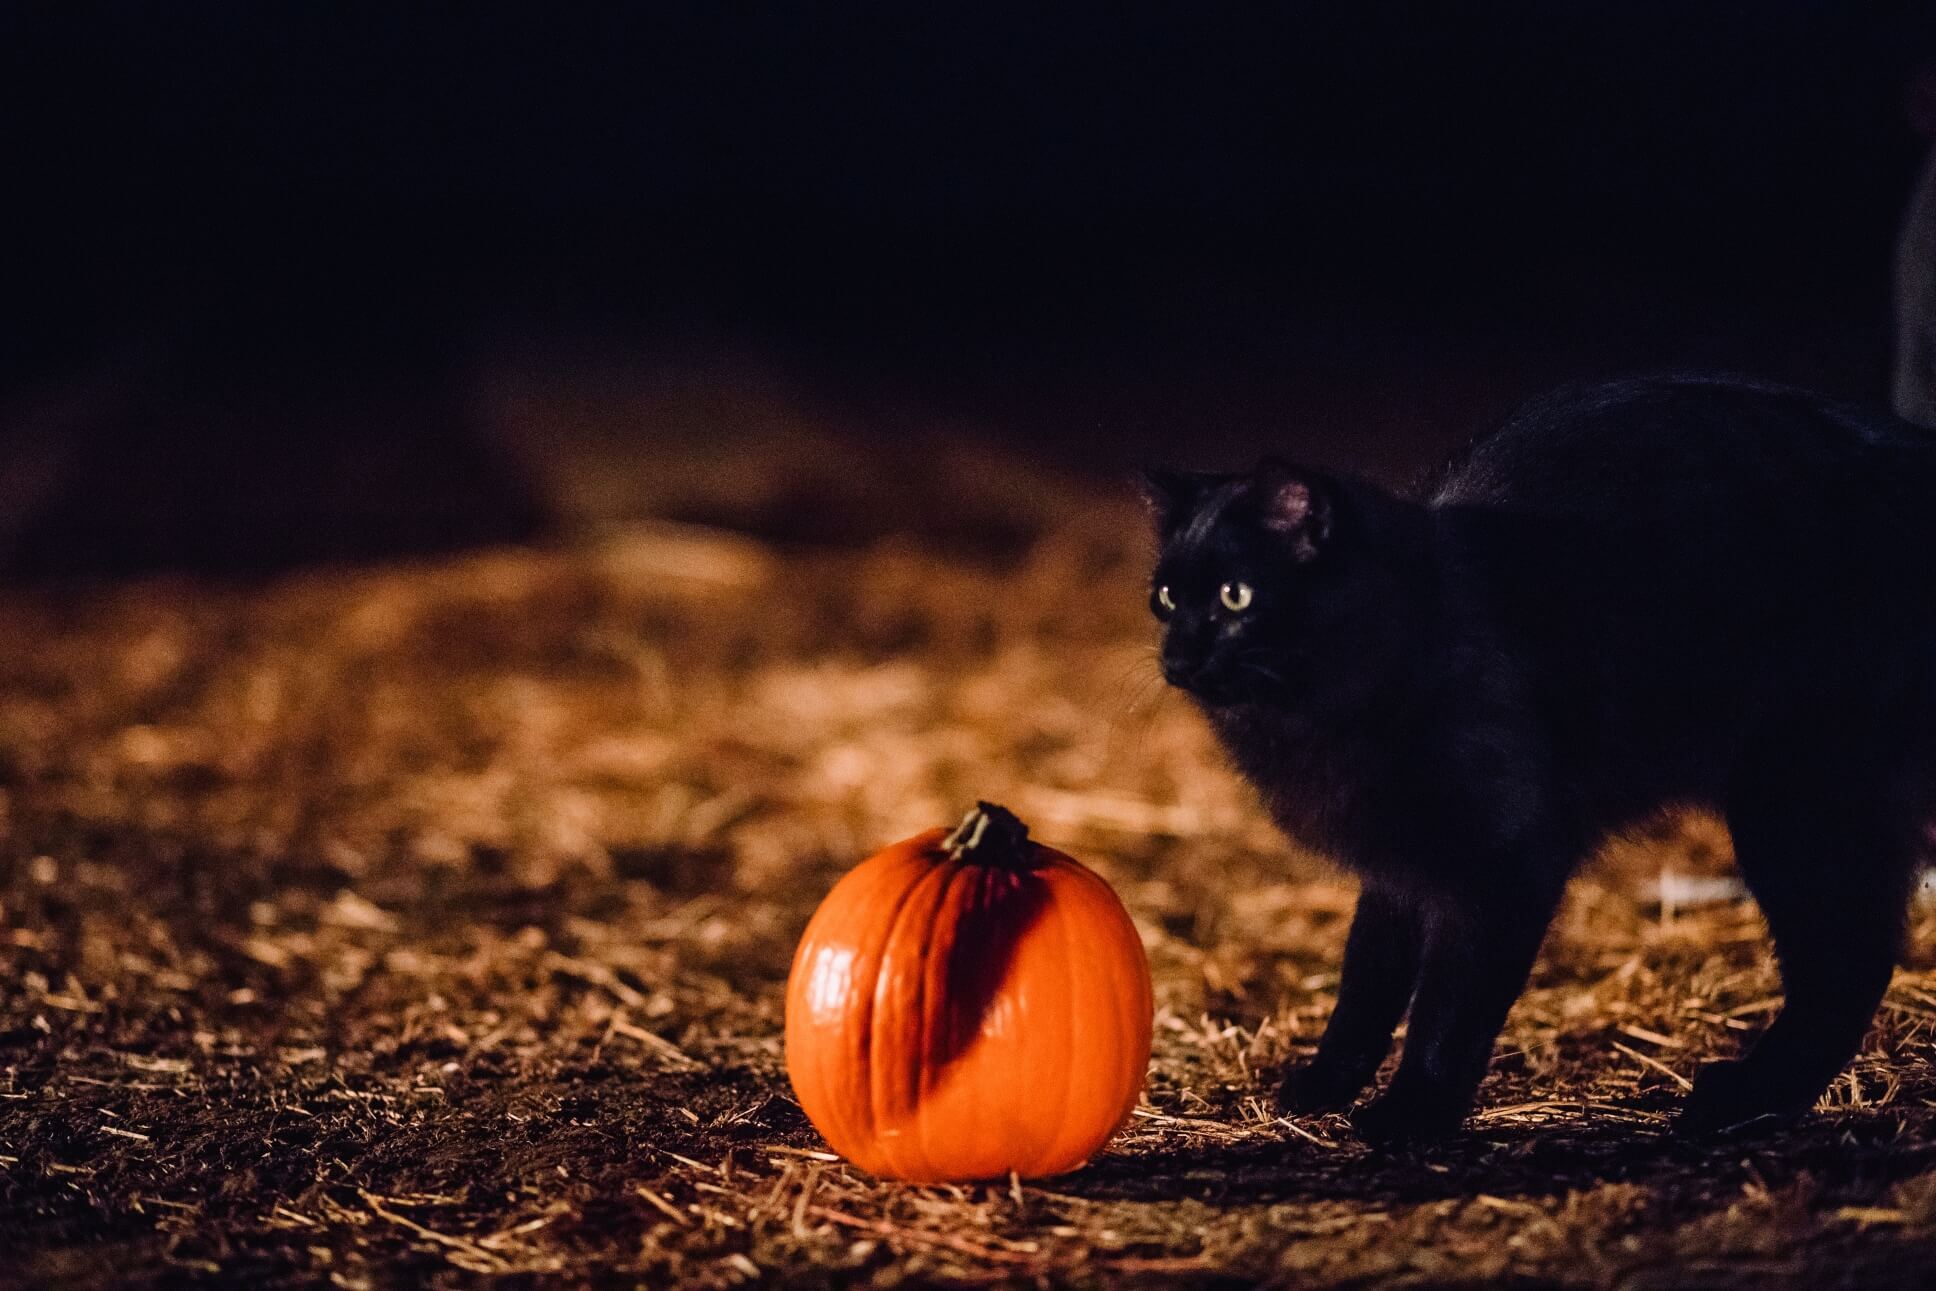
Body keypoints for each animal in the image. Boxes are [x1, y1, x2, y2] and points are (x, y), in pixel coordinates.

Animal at [1138, 373, 1936, 1138]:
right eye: (1167, 598)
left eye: (1236, 596)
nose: (1177, 657)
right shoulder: (1397, 862)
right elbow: (1366, 980)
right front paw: (1325, 1085)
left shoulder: (1504, 858)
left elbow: (1448, 1006)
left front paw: (1413, 1113)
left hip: (1799, 800)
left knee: (1849, 962)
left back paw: (1741, 1103)